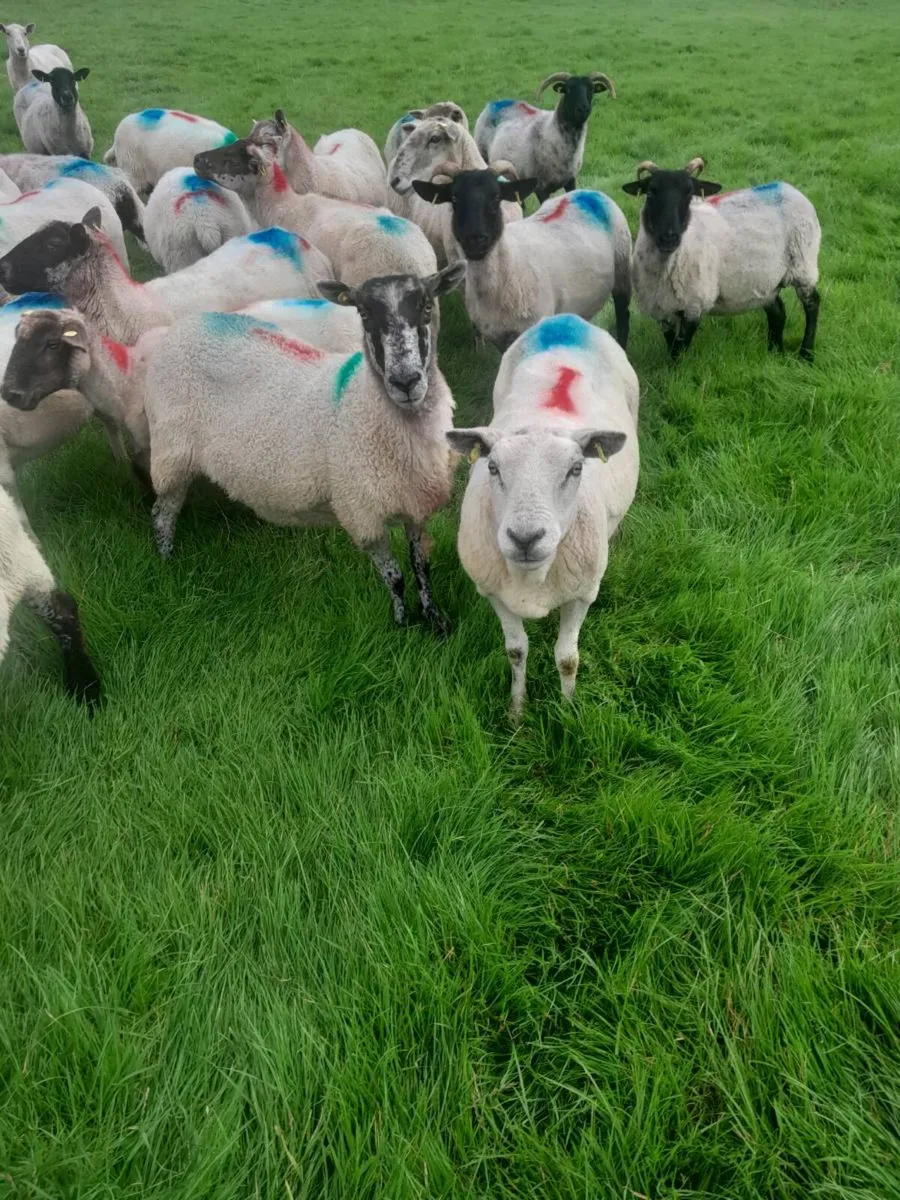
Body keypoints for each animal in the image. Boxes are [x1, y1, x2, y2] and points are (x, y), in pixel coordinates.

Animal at [141, 264, 466, 630]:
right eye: (364, 314)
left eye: (426, 307)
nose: (406, 381)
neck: (364, 400)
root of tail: (184, 325)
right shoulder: (361, 513)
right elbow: (394, 576)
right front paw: (401, 623)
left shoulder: (417, 503)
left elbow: (421, 566)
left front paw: (435, 620)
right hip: (171, 451)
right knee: (163, 513)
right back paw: (166, 562)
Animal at [413, 163, 631, 351]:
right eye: (454, 198)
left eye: (496, 197)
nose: (475, 239)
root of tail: (589, 193)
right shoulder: (500, 338)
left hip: (622, 270)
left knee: (623, 316)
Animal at [447, 314, 638, 720]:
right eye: (492, 467)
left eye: (576, 468)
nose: (525, 537)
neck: (531, 579)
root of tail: (566, 320)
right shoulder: (493, 593)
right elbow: (515, 651)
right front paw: (516, 711)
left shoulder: (581, 595)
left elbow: (567, 658)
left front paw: (568, 711)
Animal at [474, 71, 616, 203]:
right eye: (568, 89)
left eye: (591, 89)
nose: (583, 109)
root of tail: (494, 103)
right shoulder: (541, 188)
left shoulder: (570, 180)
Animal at [623, 157, 822, 361]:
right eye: (650, 193)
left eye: (689, 194)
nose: (669, 238)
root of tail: (789, 188)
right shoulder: (662, 310)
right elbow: (672, 347)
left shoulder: (694, 305)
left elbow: (679, 349)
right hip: (764, 281)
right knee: (778, 311)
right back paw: (775, 351)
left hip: (803, 265)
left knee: (812, 303)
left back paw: (806, 353)